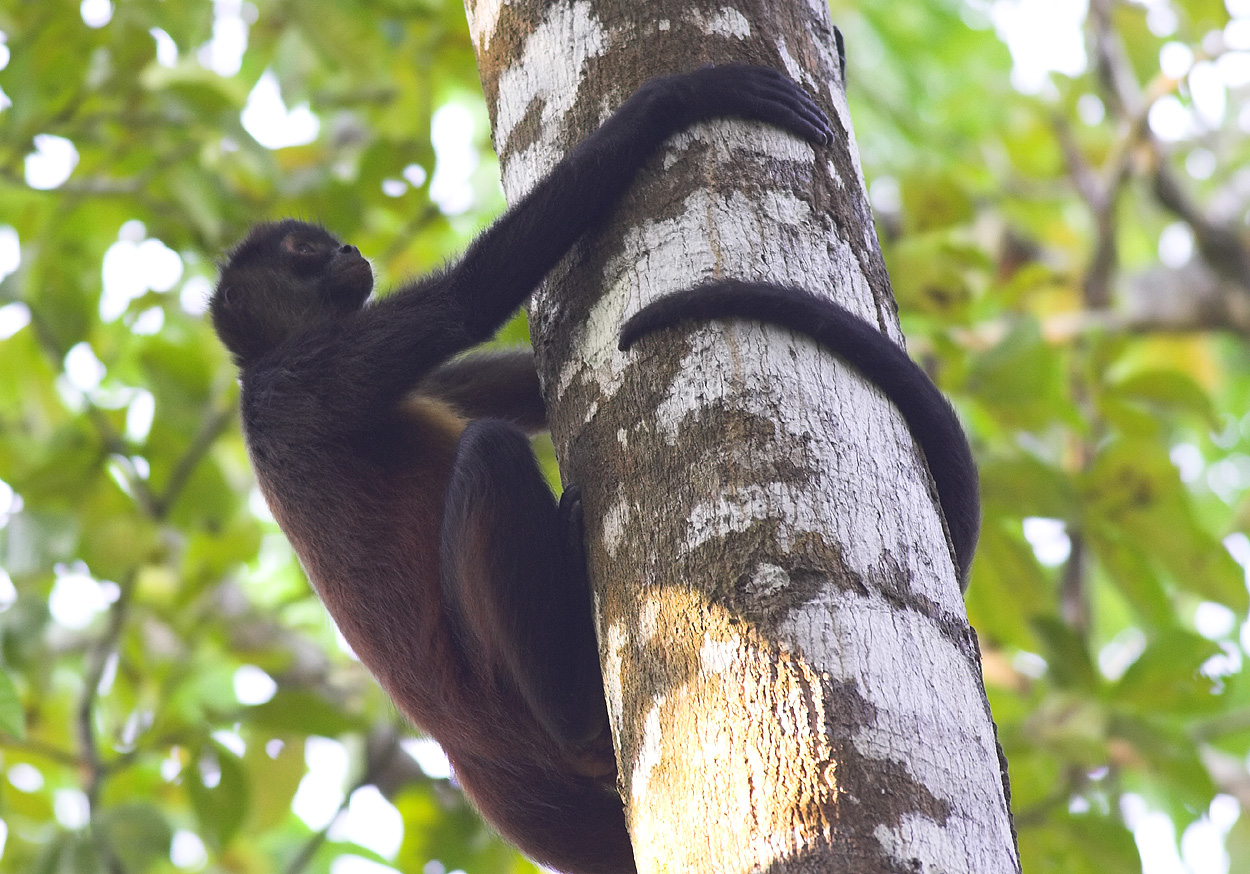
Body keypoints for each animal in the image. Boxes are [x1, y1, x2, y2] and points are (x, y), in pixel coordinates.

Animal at [211, 66, 835, 874]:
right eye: (300, 249)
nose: (347, 247)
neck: (253, 374)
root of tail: (477, 759)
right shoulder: (300, 378)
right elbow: (465, 303)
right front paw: (686, 96)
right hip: (498, 684)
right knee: (491, 450)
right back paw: (576, 711)